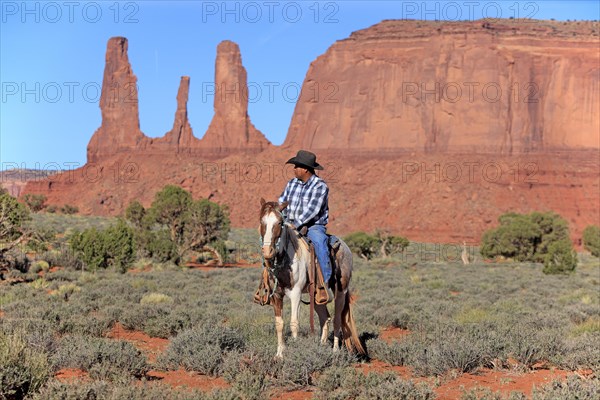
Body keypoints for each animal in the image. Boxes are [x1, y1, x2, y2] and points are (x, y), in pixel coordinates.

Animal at [255, 198, 364, 358]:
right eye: (261, 221)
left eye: (280, 222)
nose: (268, 252)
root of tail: (346, 247)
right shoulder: (276, 295)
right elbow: (279, 324)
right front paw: (279, 354)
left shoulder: (295, 293)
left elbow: (294, 323)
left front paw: (293, 352)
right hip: (318, 296)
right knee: (325, 318)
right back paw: (321, 347)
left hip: (341, 292)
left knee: (337, 319)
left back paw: (335, 351)